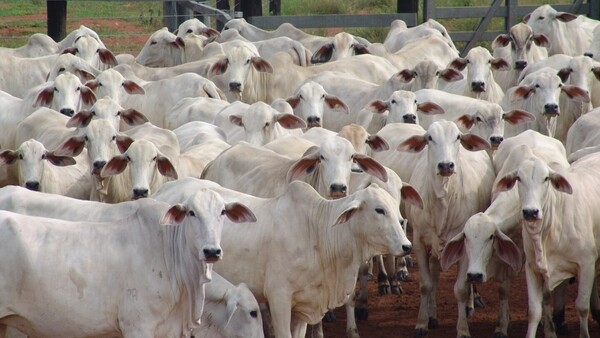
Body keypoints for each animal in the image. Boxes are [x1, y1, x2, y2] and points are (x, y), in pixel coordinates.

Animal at [152, 178, 410, 336]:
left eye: (395, 207)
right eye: (379, 210)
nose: (406, 246)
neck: (317, 232)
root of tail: (162, 190)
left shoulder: (303, 305)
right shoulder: (279, 298)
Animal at [400, 120, 494, 336]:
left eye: (457, 137)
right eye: (429, 138)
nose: (445, 165)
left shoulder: (465, 243)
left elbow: (460, 288)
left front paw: (463, 329)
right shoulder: (419, 241)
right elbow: (426, 284)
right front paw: (422, 322)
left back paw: (469, 306)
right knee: (434, 275)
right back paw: (433, 315)